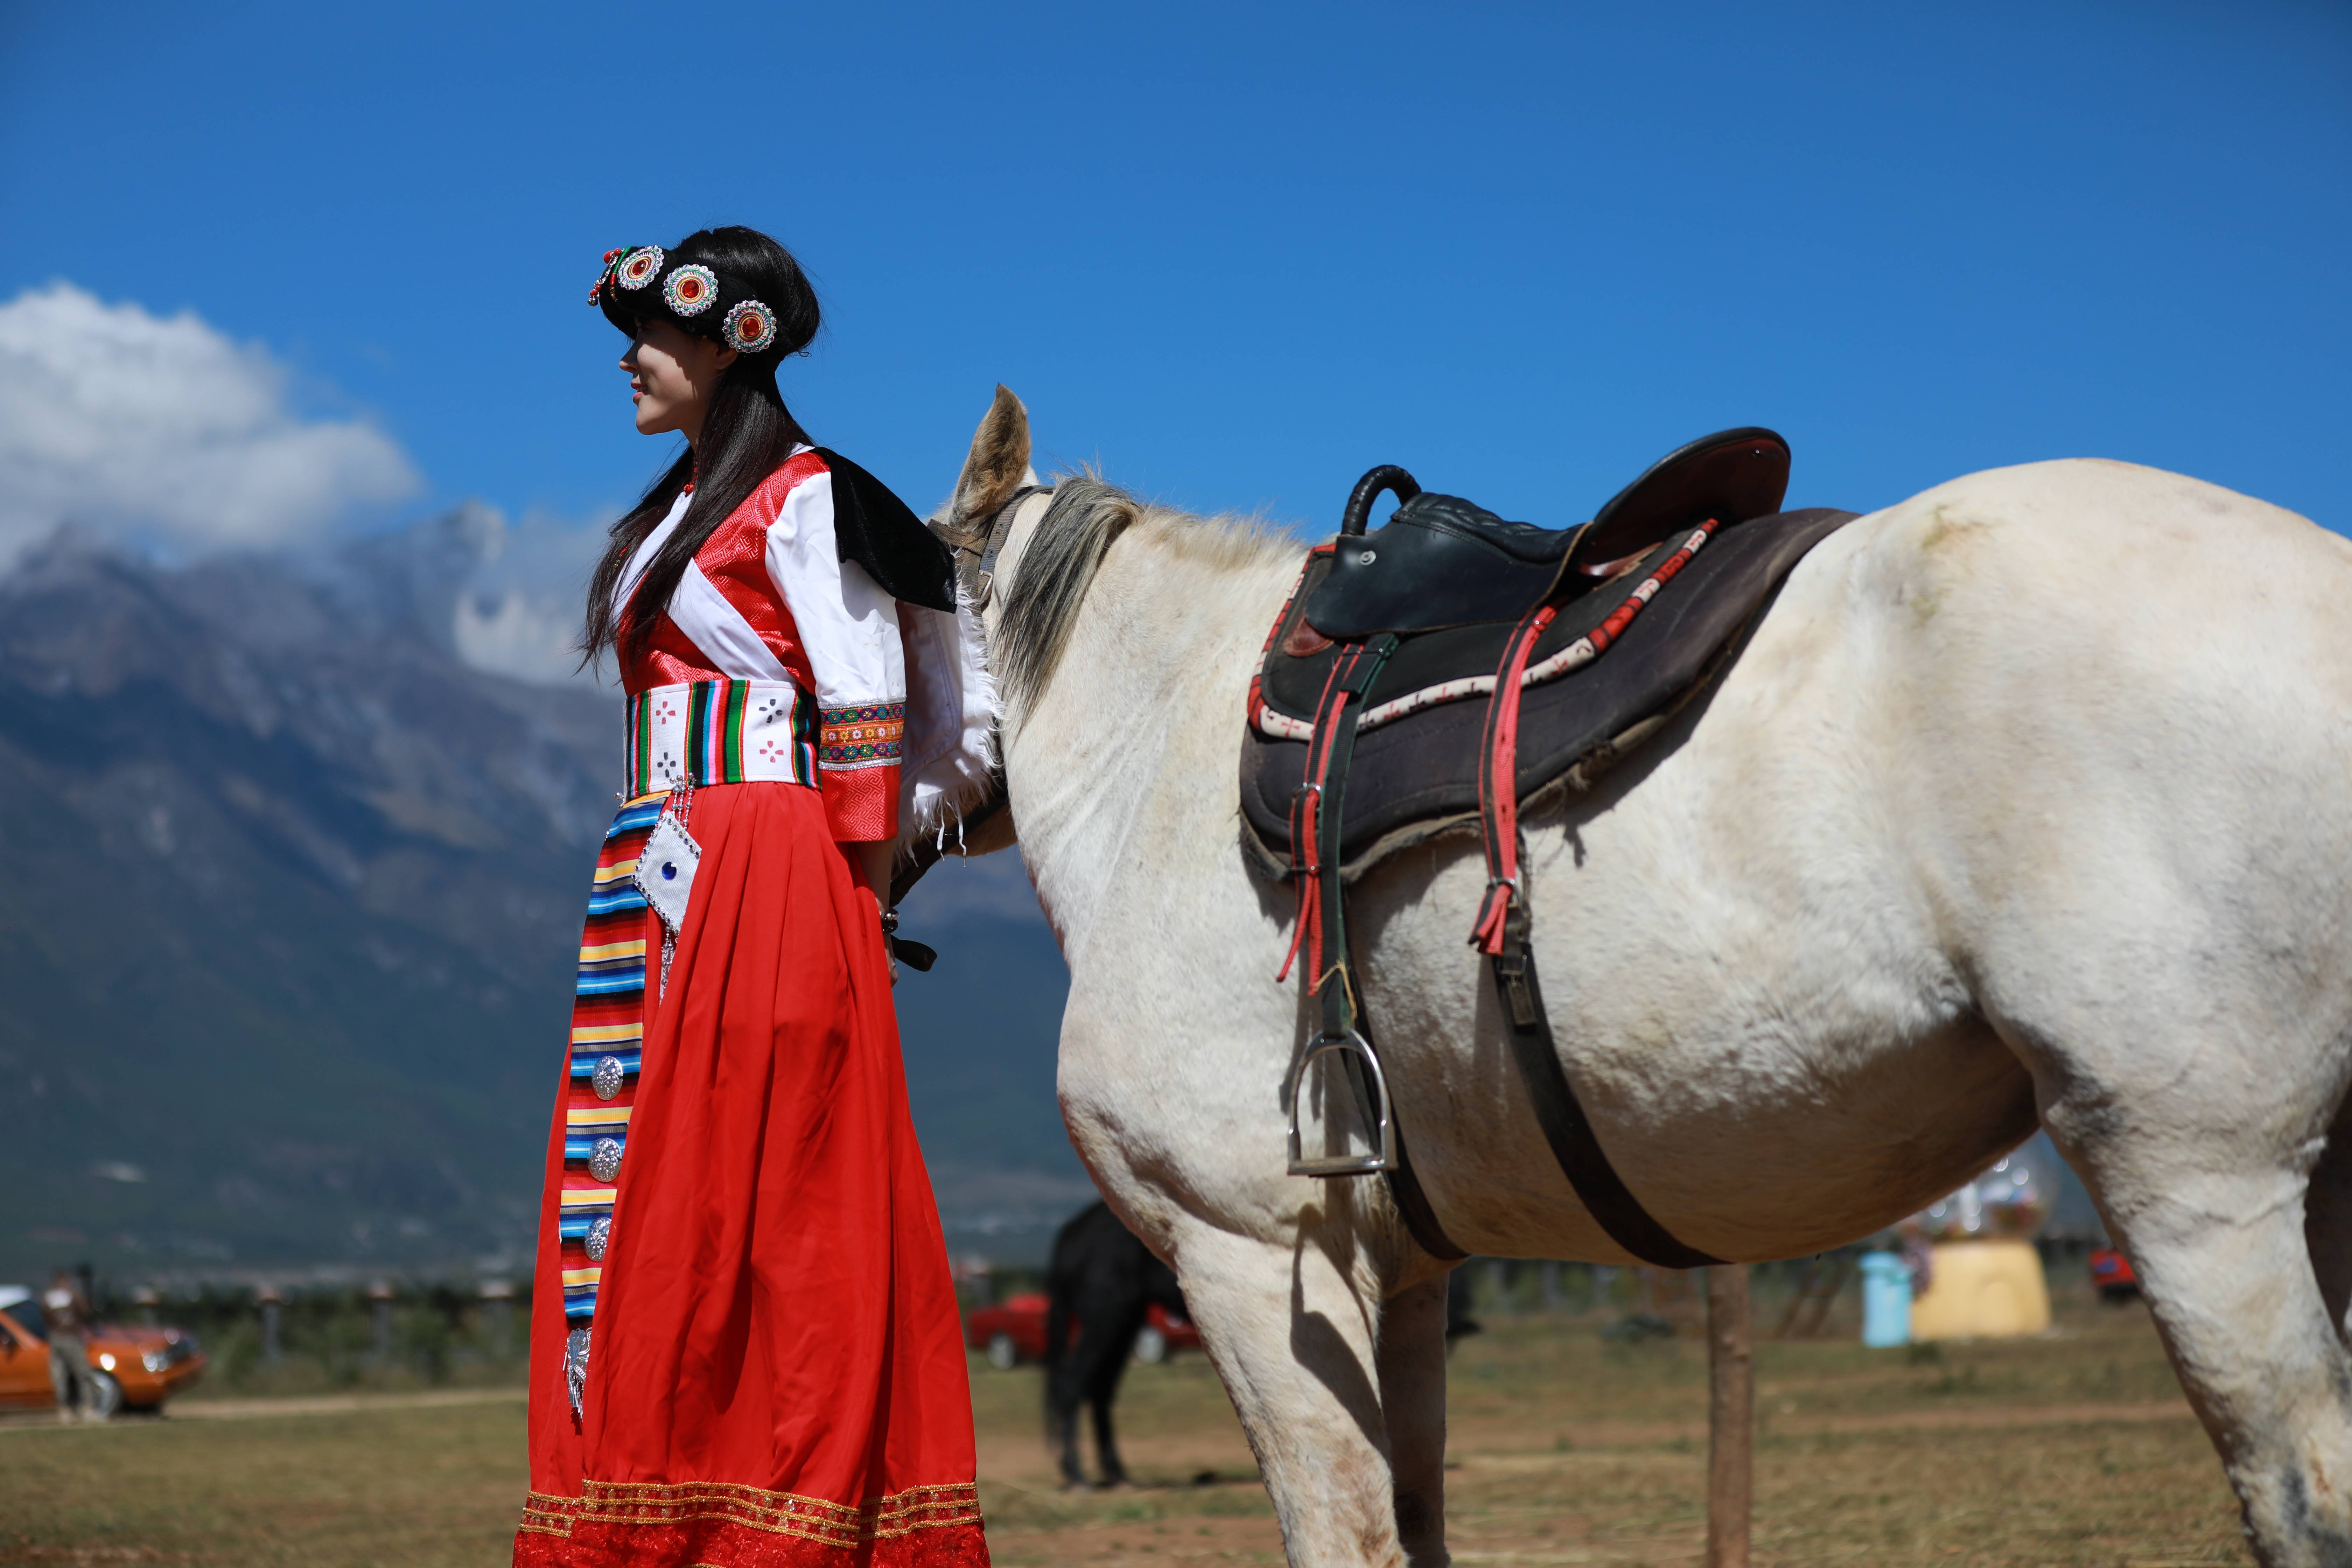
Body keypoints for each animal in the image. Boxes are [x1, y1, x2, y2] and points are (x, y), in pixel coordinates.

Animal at [1054, 1213, 1195, 1495]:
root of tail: (1073, 1231)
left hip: (1124, 1324)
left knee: (1100, 1391)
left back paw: (1116, 1474)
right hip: (1106, 1319)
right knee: (1072, 1383)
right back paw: (1078, 1476)